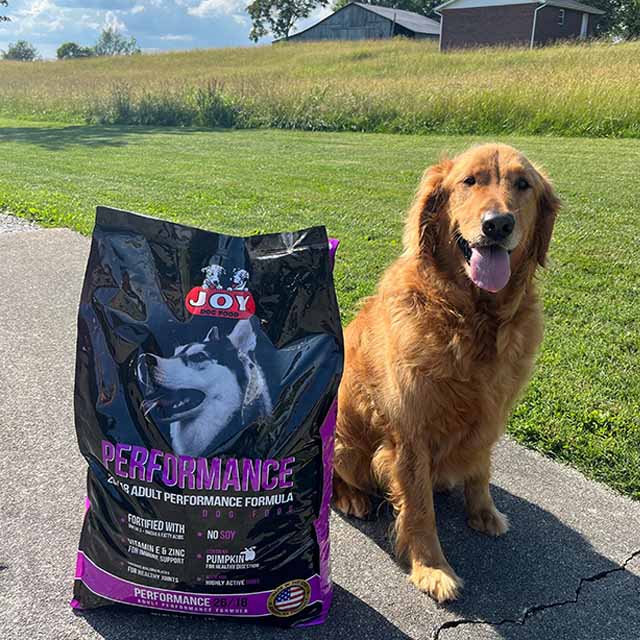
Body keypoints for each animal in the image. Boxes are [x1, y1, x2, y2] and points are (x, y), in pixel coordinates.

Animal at [336, 144, 560, 600]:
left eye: (522, 184)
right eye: (469, 181)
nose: (498, 224)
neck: (472, 318)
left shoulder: (491, 414)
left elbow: (482, 469)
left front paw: (484, 511)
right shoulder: (410, 433)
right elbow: (419, 509)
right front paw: (432, 568)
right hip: (345, 446)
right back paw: (353, 497)